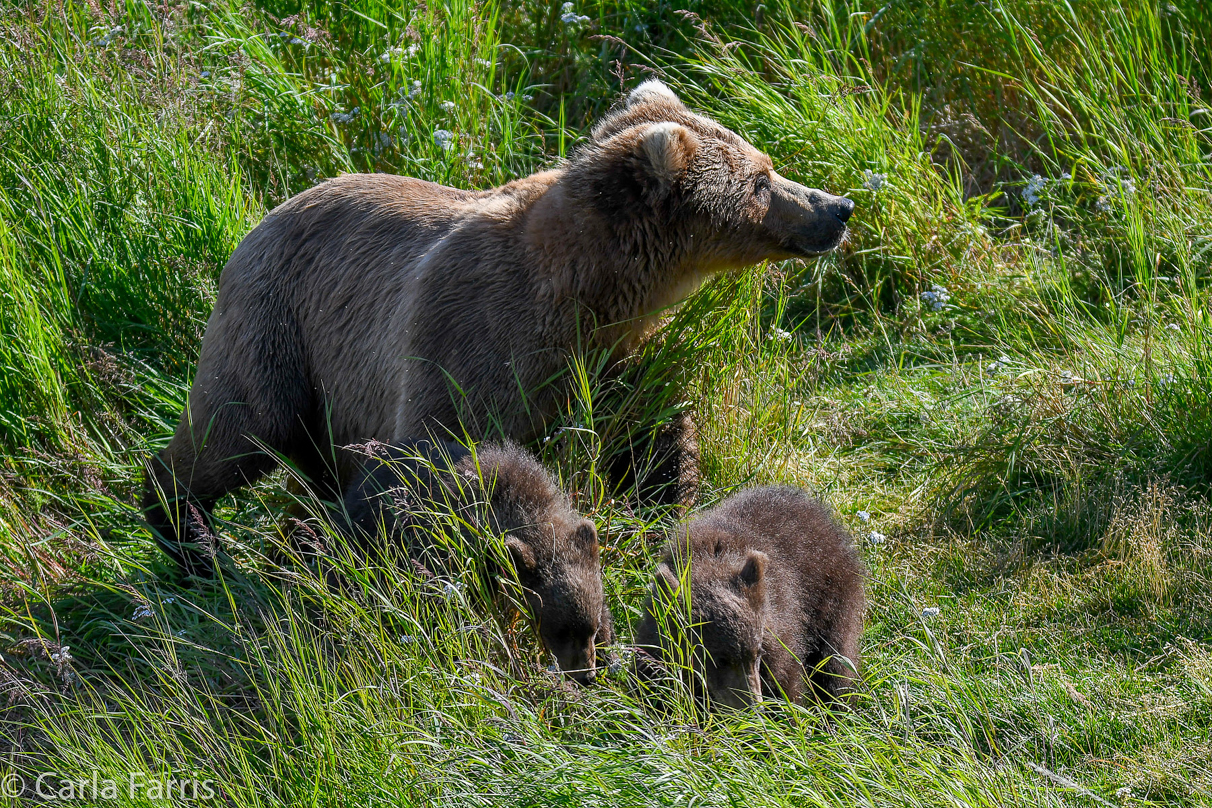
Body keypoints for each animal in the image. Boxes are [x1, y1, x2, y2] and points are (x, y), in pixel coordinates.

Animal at [146, 82, 853, 574]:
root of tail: (262, 219)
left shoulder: (622, 358)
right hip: (278, 320)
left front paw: (666, 514)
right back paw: (191, 537)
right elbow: (426, 464)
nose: (838, 205)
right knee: (239, 422)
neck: (588, 292)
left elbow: (652, 442)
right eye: (761, 180)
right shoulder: (468, 338)